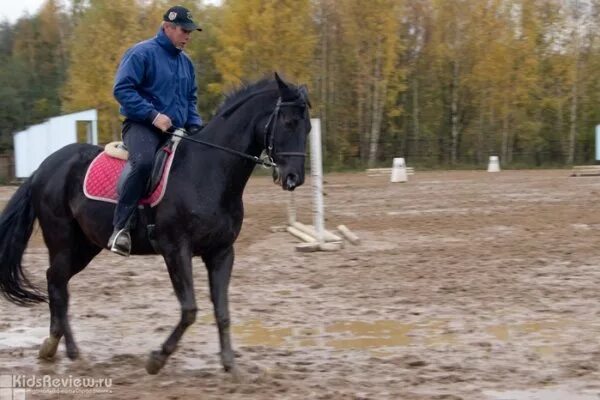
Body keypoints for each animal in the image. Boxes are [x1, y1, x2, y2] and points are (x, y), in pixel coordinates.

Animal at [0, 74, 312, 376]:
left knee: (58, 281)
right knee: (56, 283)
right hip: (62, 240)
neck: (209, 171)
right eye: (288, 122)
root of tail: (45, 167)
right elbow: (190, 309)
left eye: (308, 127)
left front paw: (230, 364)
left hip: (86, 246)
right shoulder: (176, 249)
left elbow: (222, 311)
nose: (294, 178)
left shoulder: (221, 252)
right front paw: (157, 360)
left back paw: (61, 348)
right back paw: (63, 349)